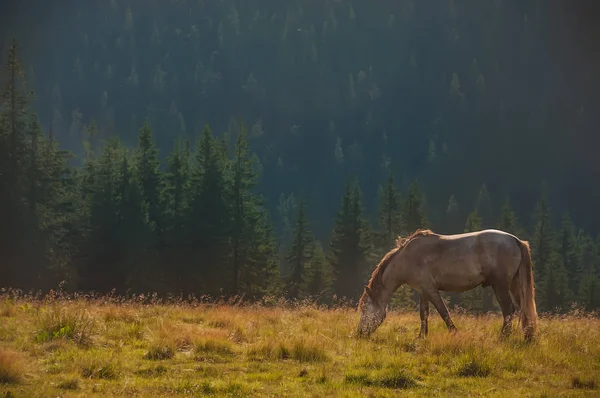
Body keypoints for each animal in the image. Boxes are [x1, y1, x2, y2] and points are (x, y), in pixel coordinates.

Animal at [356, 229, 540, 340]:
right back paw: (527, 336)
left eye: (365, 309)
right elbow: (424, 314)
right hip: (515, 285)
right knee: (523, 309)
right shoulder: (422, 291)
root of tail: (515, 240)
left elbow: (443, 312)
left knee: (508, 310)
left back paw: (503, 337)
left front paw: (454, 333)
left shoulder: (430, 289)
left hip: (500, 286)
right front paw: (421, 336)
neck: (407, 258)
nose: (359, 333)